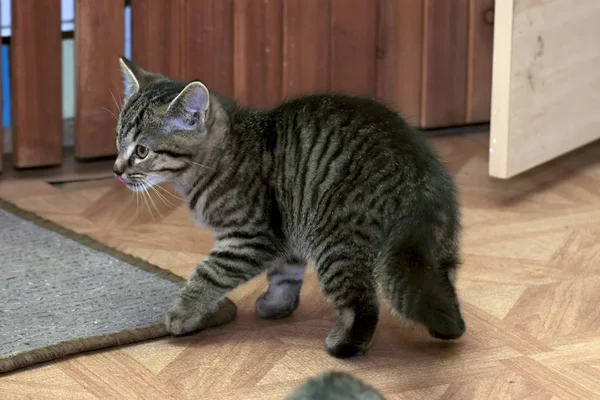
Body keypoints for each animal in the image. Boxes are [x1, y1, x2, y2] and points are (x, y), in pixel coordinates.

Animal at [115, 55, 466, 356]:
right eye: (118, 140)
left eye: (142, 151)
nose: (117, 169)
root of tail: (418, 177)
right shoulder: (286, 230)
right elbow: (285, 275)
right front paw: (277, 305)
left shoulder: (252, 237)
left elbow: (209, 272)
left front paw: (183, 312)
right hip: (434, 250)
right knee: (441, 291)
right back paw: (446, 328)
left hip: (335, 241)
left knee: (363, 306)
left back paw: (344, 346)